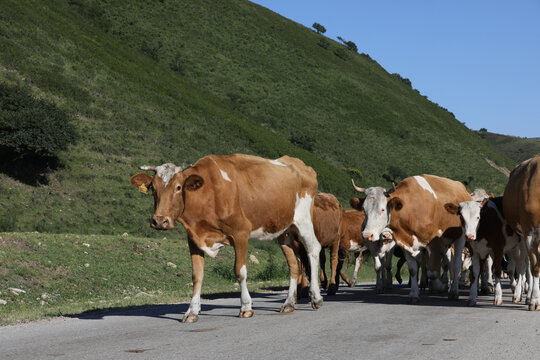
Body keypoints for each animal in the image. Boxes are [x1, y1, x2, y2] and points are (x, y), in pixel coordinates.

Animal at [130, 153, 324, 322]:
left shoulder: (241, 233)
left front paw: (246, 307)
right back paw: (289, 303)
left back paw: (316, 297)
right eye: (153, 188)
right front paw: (192, 311)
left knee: (313, 249)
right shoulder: (193, 239)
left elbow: (240, 272)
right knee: (293, 263)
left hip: (303, 220)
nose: (159, 220)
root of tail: (302, 165)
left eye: (178, 187)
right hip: (284, 230)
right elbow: (196, 276)